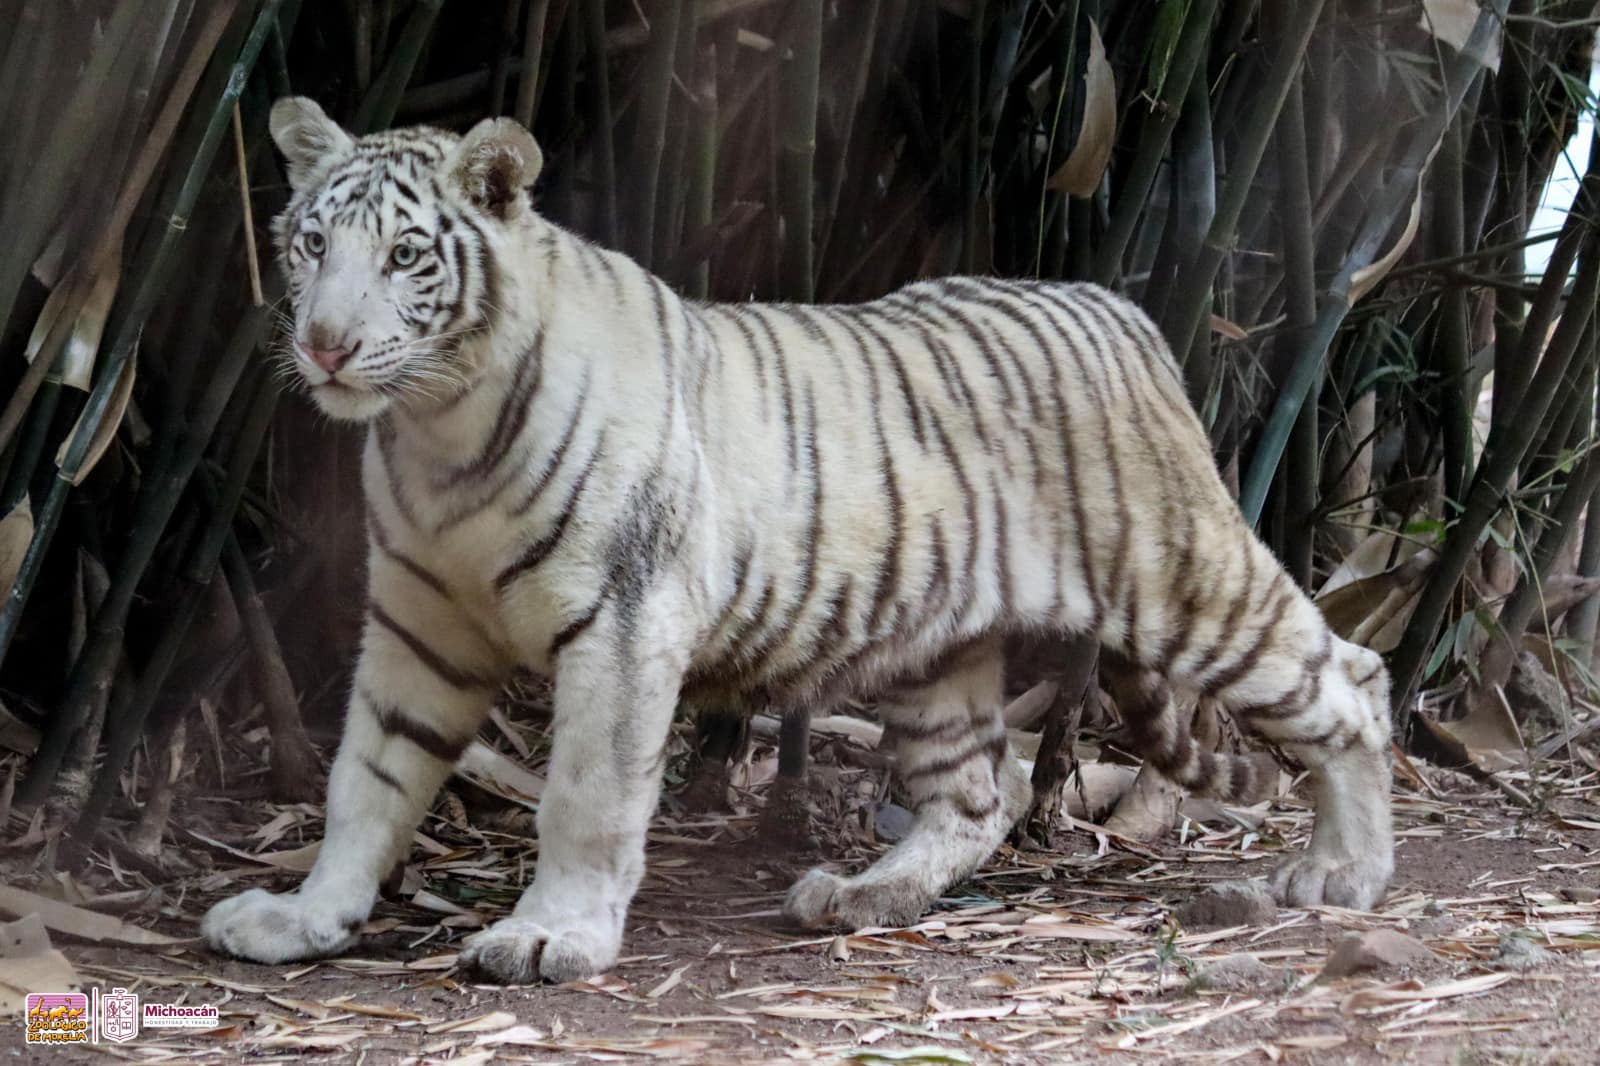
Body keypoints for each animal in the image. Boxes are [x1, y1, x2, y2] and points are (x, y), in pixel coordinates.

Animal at [206, 99, 1395, 979]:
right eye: (312, 243)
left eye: (407, 254)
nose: (324, 343)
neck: (435, 432)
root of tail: (1121, 308)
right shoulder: (417, 626)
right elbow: (366, 781)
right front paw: (305, 918)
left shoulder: (622, 624)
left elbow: (586, 796)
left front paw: (552, 937)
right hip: (935, 646)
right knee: (982, 793)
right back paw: (864, 894)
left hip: (1190, 581)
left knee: (1352, 679)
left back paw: (1344, 873)